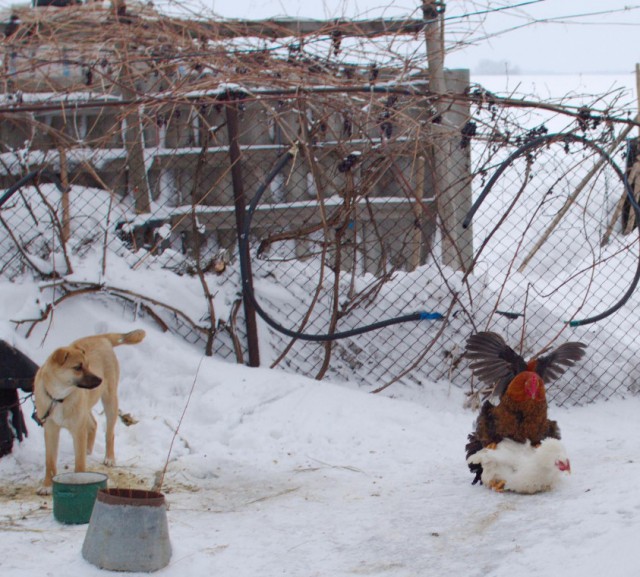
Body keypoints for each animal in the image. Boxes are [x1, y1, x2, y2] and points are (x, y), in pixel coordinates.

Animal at [33, 330, 145, 492]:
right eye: (77, 367)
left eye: (87, 365)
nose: (100, 380)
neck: (58, 397)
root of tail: (101, 337)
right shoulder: (50, 429)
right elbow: (50, 462)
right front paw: (47, 486)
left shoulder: (78, 429)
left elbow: (80, 465)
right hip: (86, 408)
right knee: (93, 424)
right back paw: (88, 449)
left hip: (110, 401)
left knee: (109, 434)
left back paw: (109, 458)